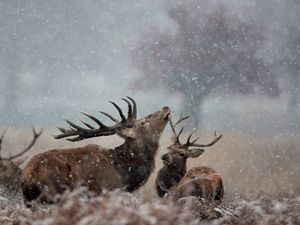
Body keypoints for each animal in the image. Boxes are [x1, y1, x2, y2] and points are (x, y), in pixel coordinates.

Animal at [21, 96, 171, 204]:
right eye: (143, 122)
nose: (166, 107)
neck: (125, 176)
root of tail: (29, 177)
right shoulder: (105, 192)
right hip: (55, 195)